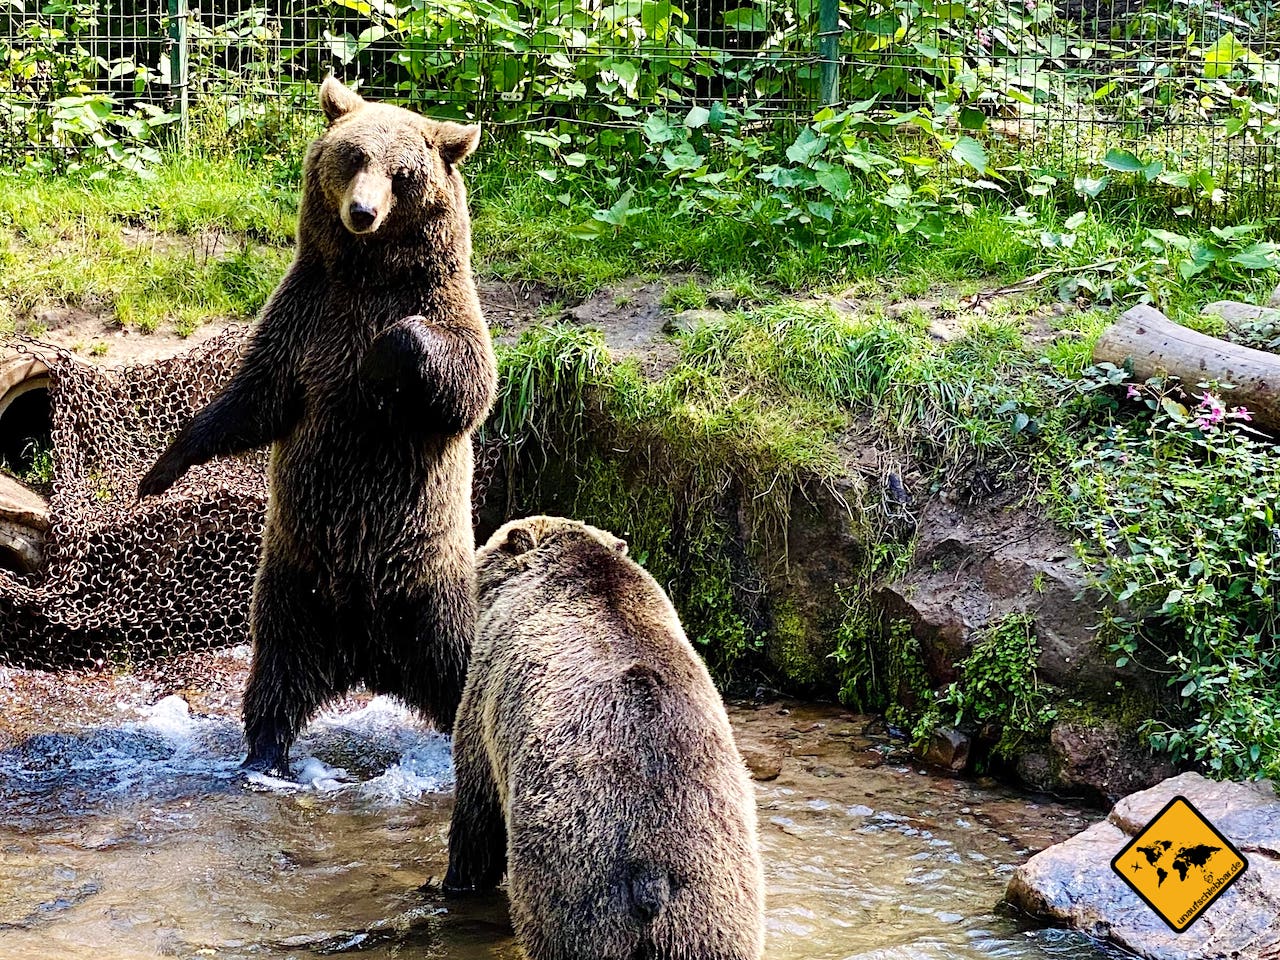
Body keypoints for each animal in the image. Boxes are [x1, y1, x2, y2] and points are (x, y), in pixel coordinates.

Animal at [136, 79, 494, 778]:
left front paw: (385, 358)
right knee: (278, 675)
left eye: (403, 174)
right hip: (295, 585)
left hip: (432, 586)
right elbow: (255, 397)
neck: (368, 271)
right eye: (353, 157)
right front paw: (161, 469)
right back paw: (262, 757)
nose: (362, 212)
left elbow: (465, 383)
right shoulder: (306, 313)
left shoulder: (441, 303)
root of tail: (370, 658)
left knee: (459, 668)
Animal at [445, 519, 762, 960]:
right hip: (713, 904)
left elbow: (478, 802)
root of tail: (652, 874)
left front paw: (456, 880)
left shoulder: (488, 688)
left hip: (579, 882)